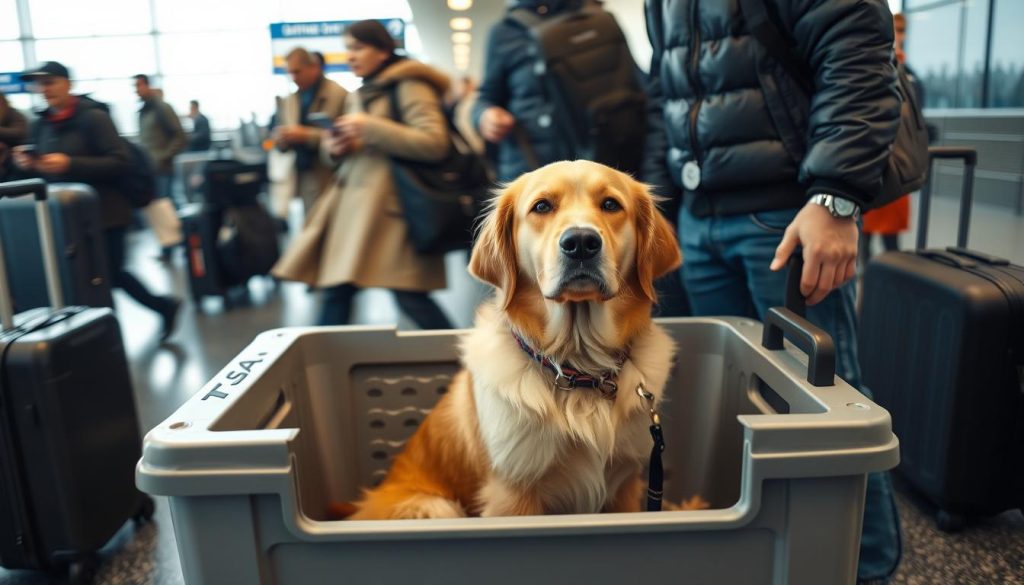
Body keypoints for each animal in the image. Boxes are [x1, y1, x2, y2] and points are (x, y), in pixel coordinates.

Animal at [348, 161, 684, 522]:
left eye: (610, 204)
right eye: (542, 206)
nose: (581, 242)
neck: (578, 369)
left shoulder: (625, 485)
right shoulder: (512, 494)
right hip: (436, 506)